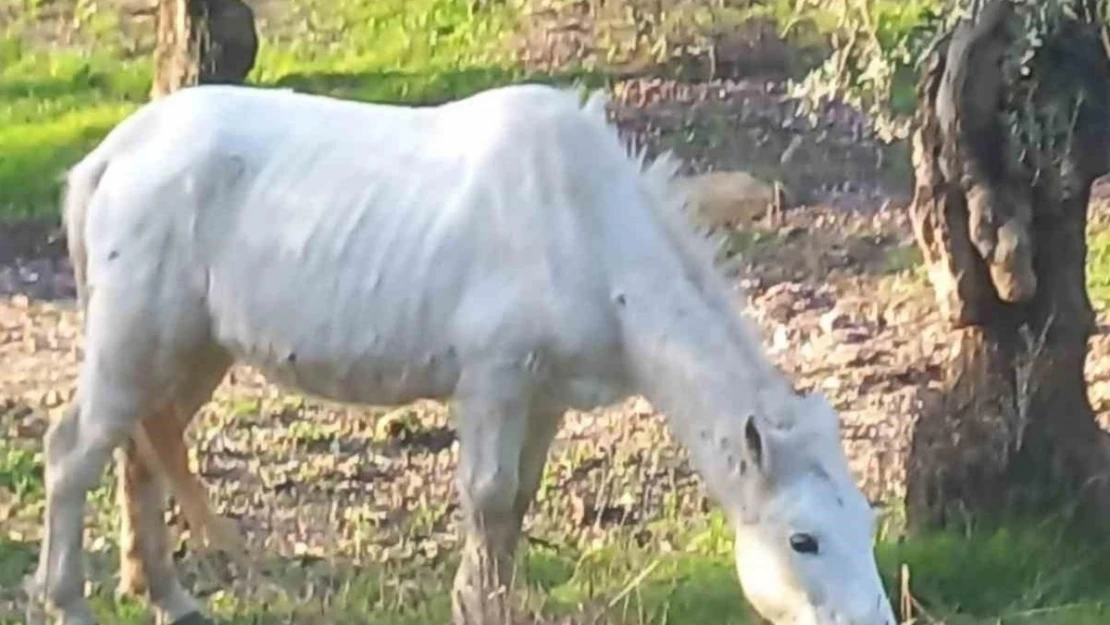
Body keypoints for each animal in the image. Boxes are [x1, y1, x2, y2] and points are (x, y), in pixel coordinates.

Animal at [26, 83, 896, 625]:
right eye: (803, 540)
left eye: (867, 522)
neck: (584, 226)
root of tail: (112, 154)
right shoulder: (492, 384)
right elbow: (487, 499)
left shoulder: (545, 398)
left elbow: (515, 508)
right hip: (134, 338)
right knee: (73, 452)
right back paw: (69, 599)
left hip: (191, 348)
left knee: (142, 447)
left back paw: (169, 596)